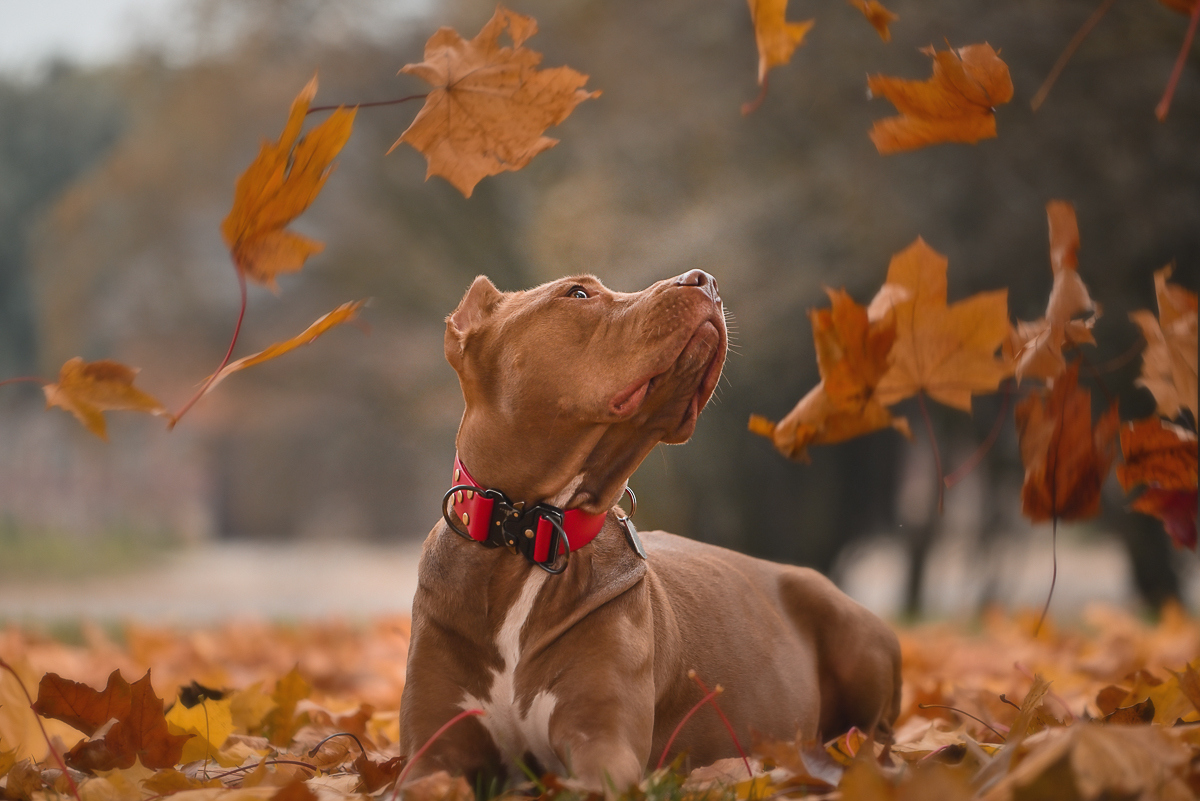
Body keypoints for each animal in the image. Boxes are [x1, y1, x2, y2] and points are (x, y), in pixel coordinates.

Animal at [403, 272, 902, 791]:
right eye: (577, 294)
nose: (706, 279)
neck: (528, 534)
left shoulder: (602, 739)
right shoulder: (432, 749)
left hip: (850, 631)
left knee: (875, 736)